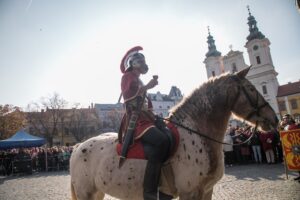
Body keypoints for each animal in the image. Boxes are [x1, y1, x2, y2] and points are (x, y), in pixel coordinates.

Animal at [69, 67, 278, 200]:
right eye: (251, 88)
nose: (274, 119)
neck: (198, 134)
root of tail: (78, 147)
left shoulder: (207, 191)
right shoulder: (189, 192)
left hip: (97, 192)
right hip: (85, 193)